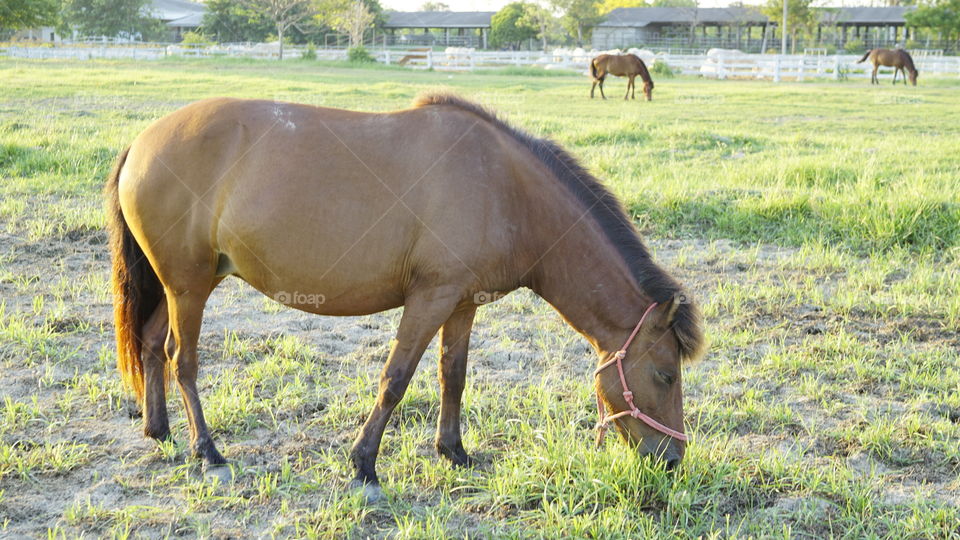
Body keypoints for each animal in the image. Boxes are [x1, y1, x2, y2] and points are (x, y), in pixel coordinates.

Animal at [105, 94, 704, 501]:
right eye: (665, 375)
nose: (674, 462)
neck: (506, 189)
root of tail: (141, 142)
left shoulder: (462, 302)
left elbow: (452, 376)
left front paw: (454, 452)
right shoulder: (430, 298)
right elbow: (396, 378)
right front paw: (364, 465)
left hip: (180, 285)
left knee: (153, 346)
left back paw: (159, 431)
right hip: (189, 287)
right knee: (182, 359)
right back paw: (208, 451)